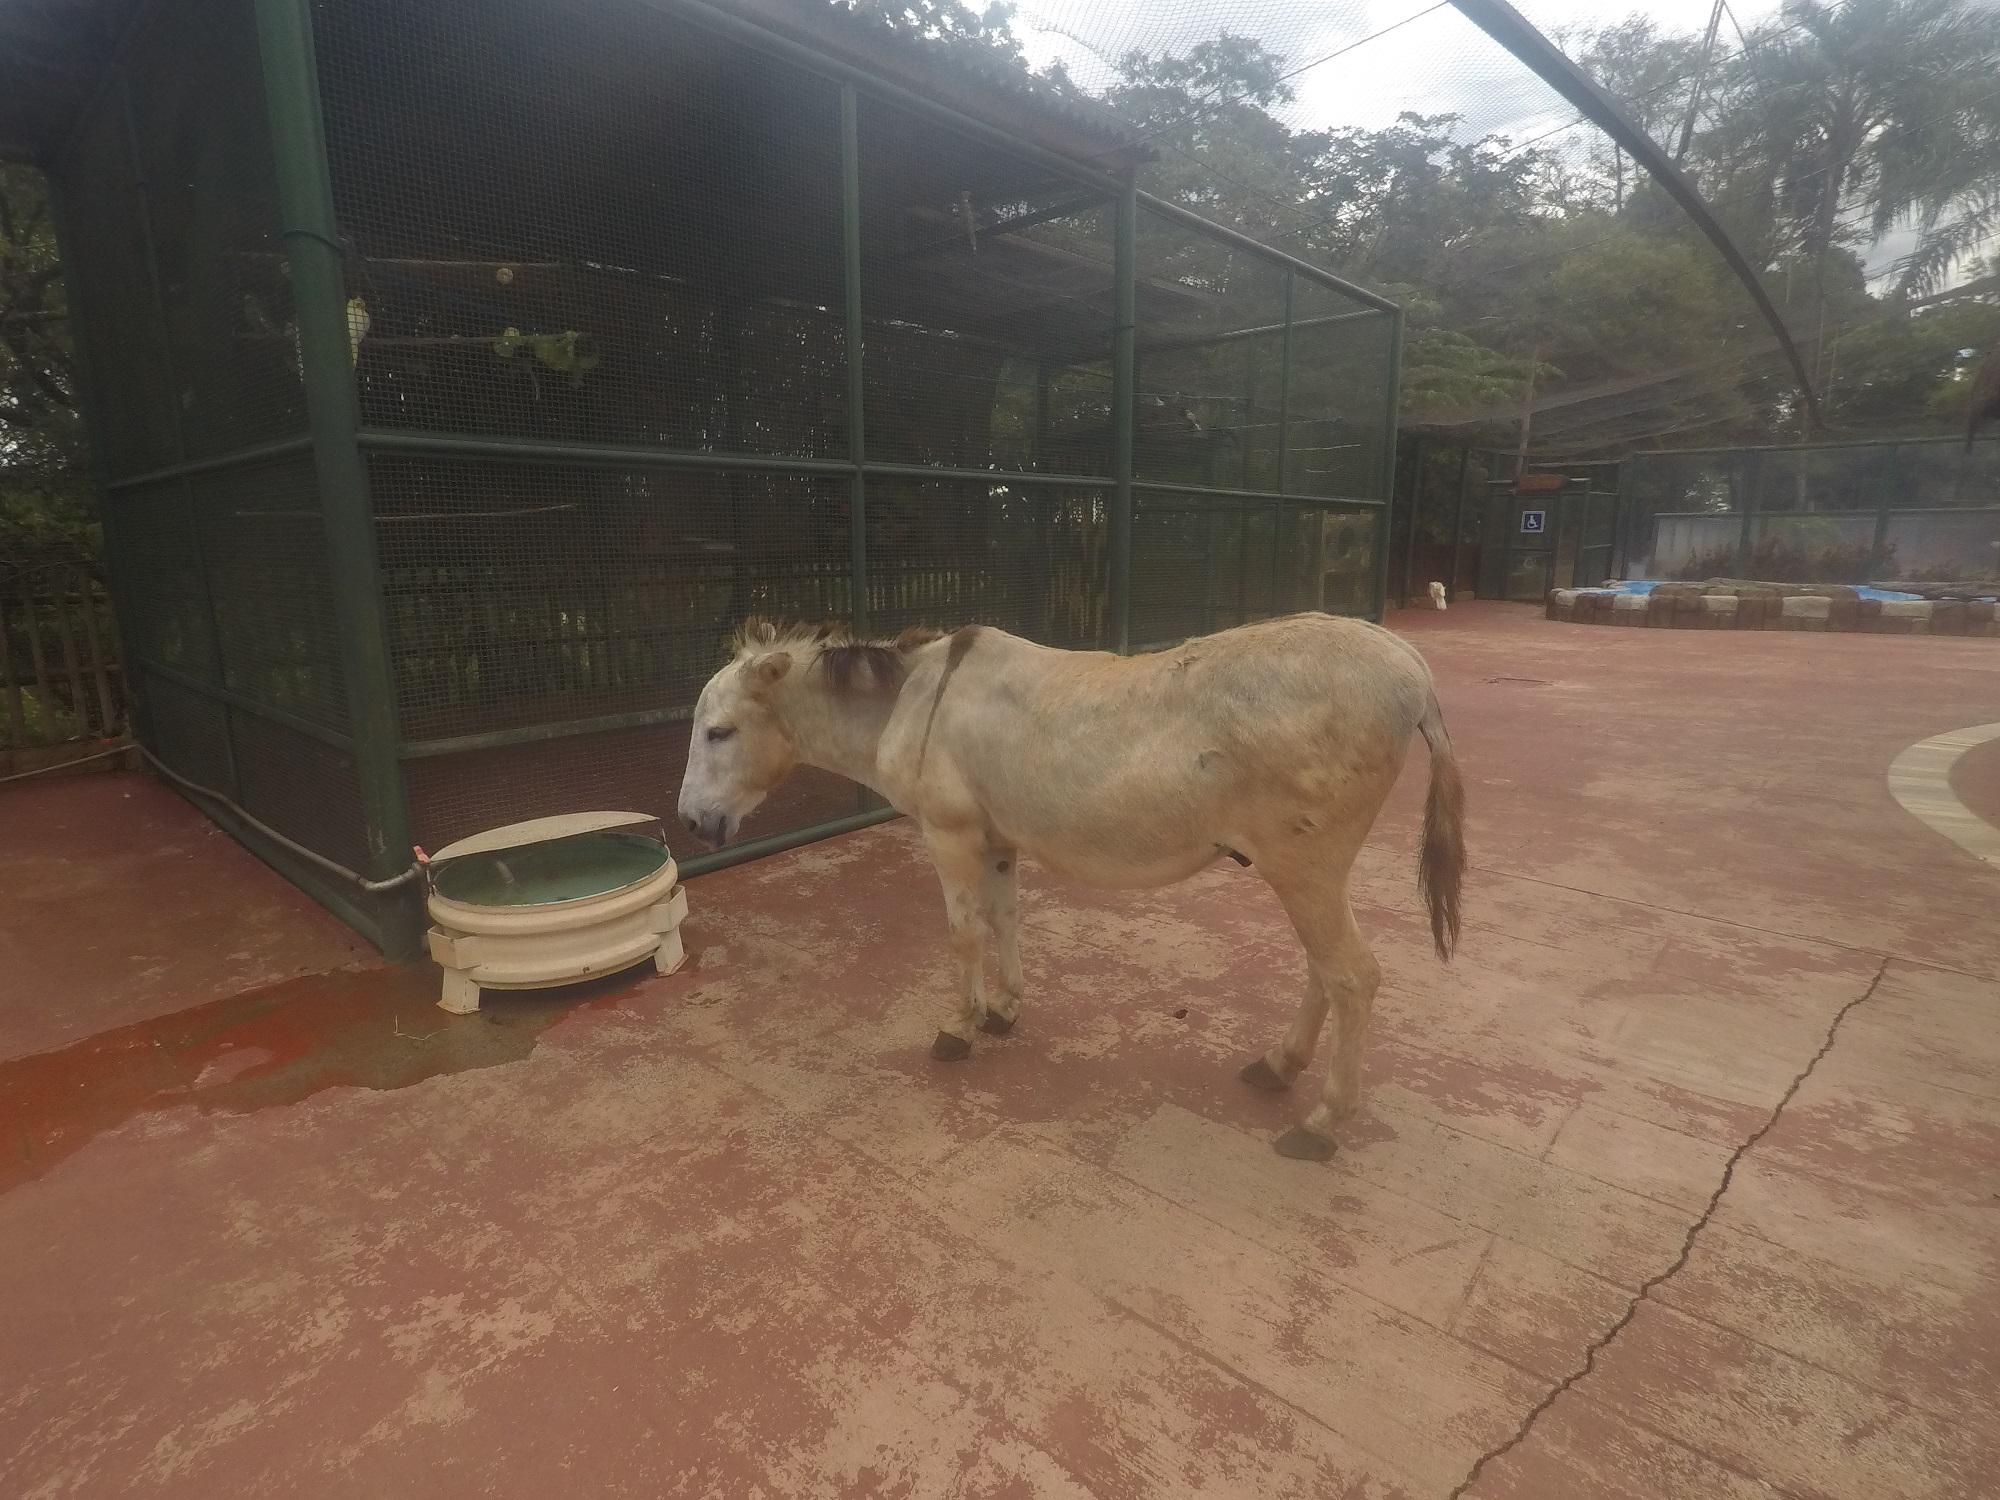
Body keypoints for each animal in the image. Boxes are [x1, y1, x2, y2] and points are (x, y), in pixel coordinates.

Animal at [677, 613, 1465, 1160]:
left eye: (717, 733)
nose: (689, 824)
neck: (913, 702)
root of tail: (1413, 667)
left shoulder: (951, 837)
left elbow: (964, 934)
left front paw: (958, 1027)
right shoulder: (997, 843)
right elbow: (1006, 920)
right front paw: (1003, 1010)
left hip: (1304, 869)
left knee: (1353, 977)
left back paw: (1323, 1123)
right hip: (1309, 872)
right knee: (1323, 971)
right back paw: (1278, 1066)